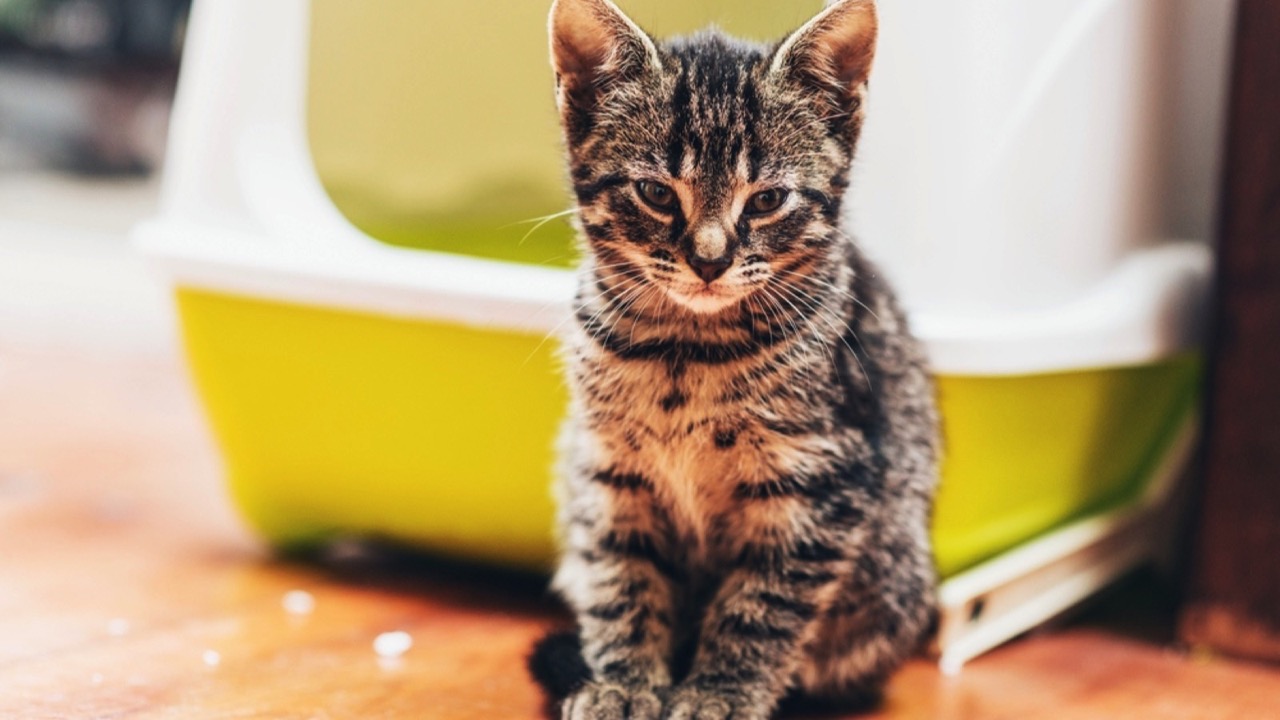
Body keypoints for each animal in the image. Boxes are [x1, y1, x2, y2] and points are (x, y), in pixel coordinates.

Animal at [532, 0, 942, 712]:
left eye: (768, 200)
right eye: (657, 193)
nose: (710, 259)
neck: (684, 350)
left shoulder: (819, 480)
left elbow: (761, 604)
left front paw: (719, 694)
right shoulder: (608, 472)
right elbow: (622, 582)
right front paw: (623, 684)